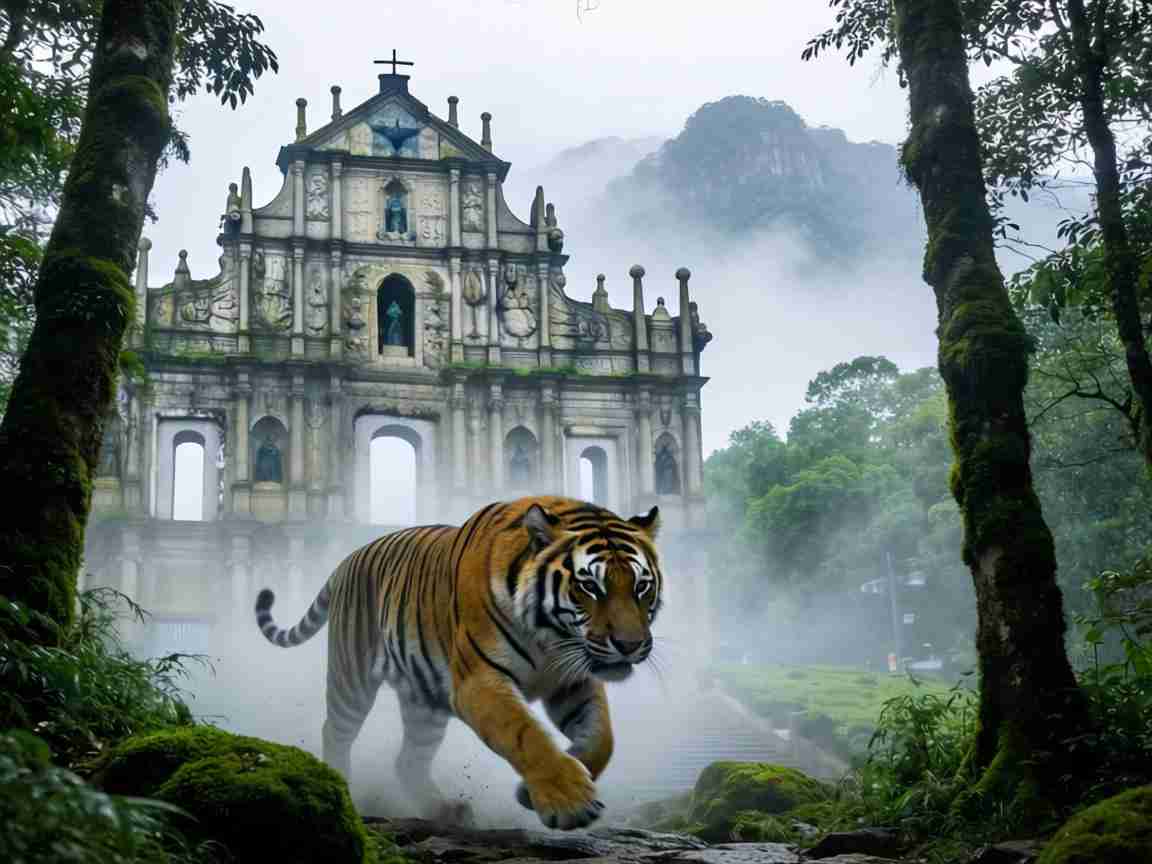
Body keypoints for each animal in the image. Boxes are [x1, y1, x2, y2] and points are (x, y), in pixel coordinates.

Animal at [253, 495, 663, 831]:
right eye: (590, 586)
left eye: (641, 586)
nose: (630, 645)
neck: (551, 636)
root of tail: (347, 559)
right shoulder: (478, 683)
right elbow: (526, 735)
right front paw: (568, 801)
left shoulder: (572, 681)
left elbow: (602, 738)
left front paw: (539, 788)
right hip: (351, 680)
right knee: (335, 732)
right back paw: (343, 788)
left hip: (423, 703)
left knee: (408, 761)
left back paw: (446, 811)